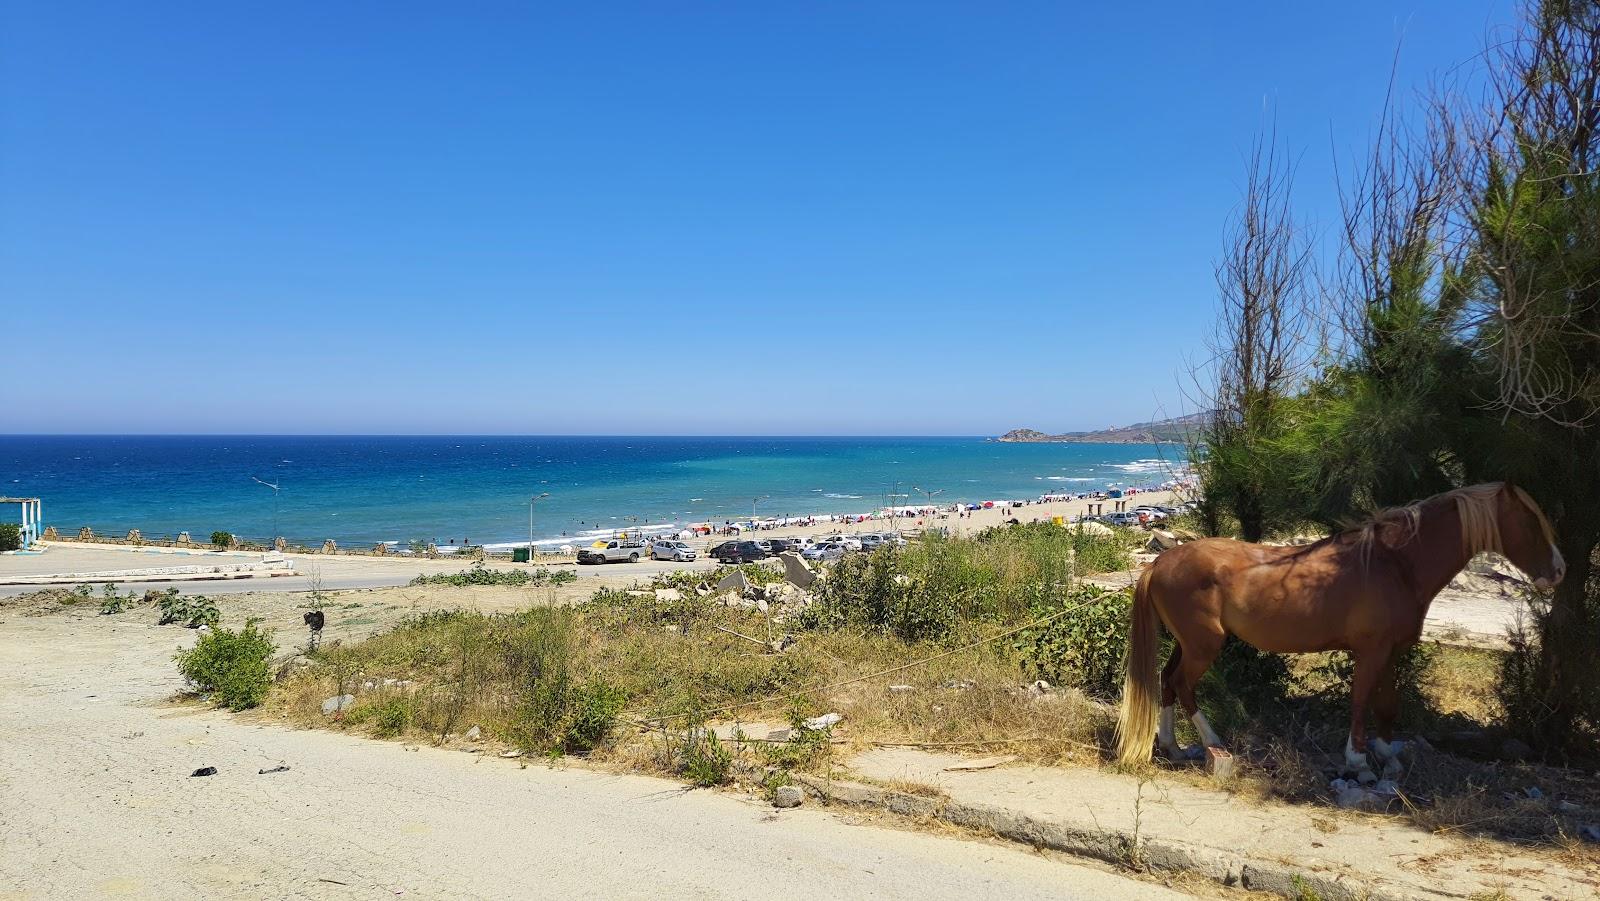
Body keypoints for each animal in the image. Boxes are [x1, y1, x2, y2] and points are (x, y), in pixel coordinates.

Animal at [1113, 483, 1561, 777]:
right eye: (1530, 520)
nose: (1559, 570)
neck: (1392, 564)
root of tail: (1161, 562)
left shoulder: (1390, 652)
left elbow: (1387, 703)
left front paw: (1387, 754)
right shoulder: (1370, 651)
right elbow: (1361, 700)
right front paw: (1357, 760)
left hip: (1186, 643)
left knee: (1167, 681)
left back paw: (1172, 746)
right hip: (1204, 646)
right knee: (1183, 685)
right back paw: (1215, 747)